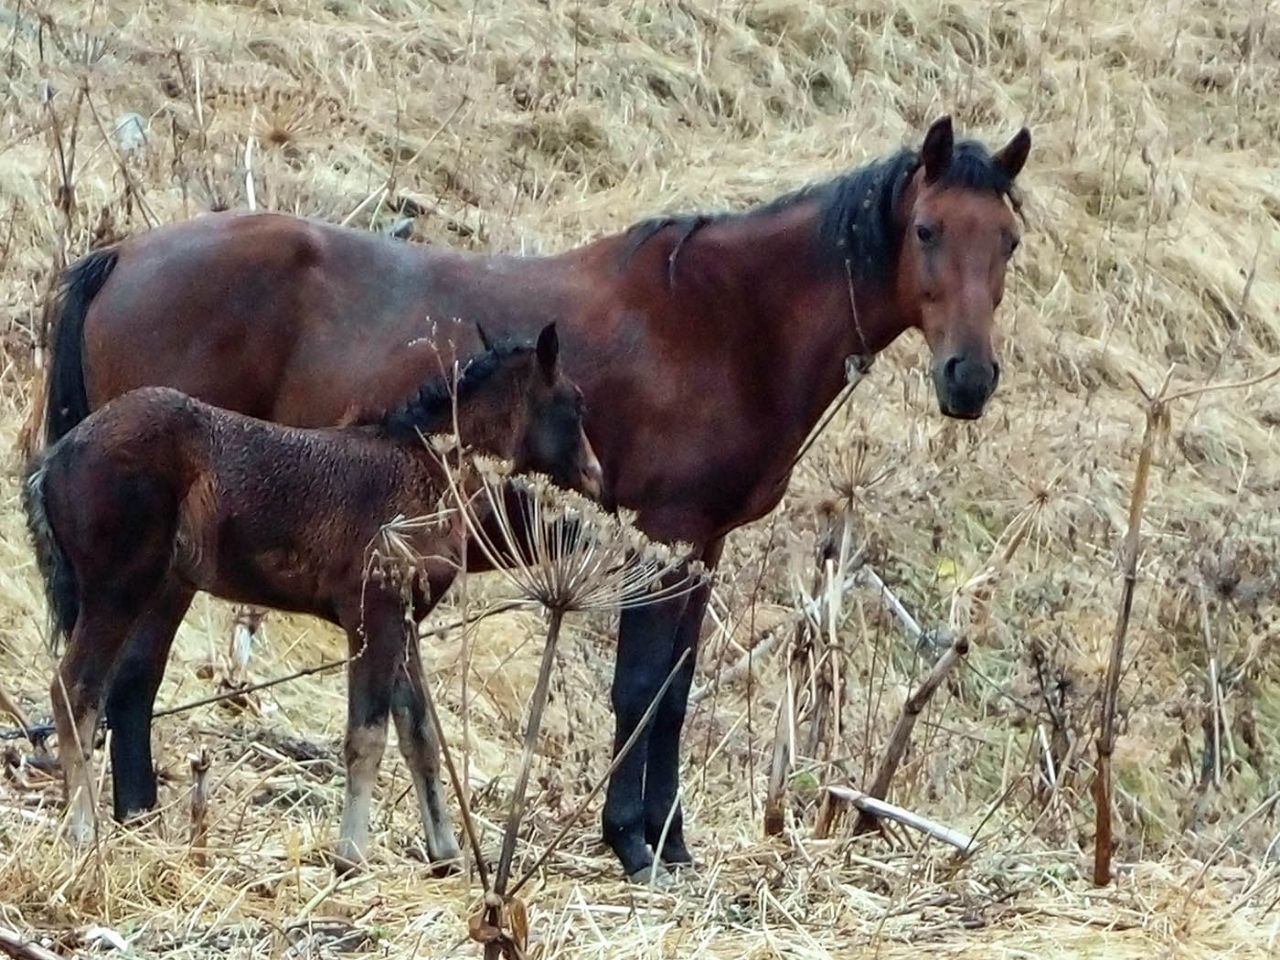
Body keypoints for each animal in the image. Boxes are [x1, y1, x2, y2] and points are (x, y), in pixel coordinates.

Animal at [20, 325, 599, 870]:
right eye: (574, 401)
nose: (594, 474)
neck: (427, 468)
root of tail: (53, 459)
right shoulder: (373, 613)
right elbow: (367, 736)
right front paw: (351, 856)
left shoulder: (405, 622)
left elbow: (420, 737)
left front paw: (445, 853)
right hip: (117, 589)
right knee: (76, 691)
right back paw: (82, 830)